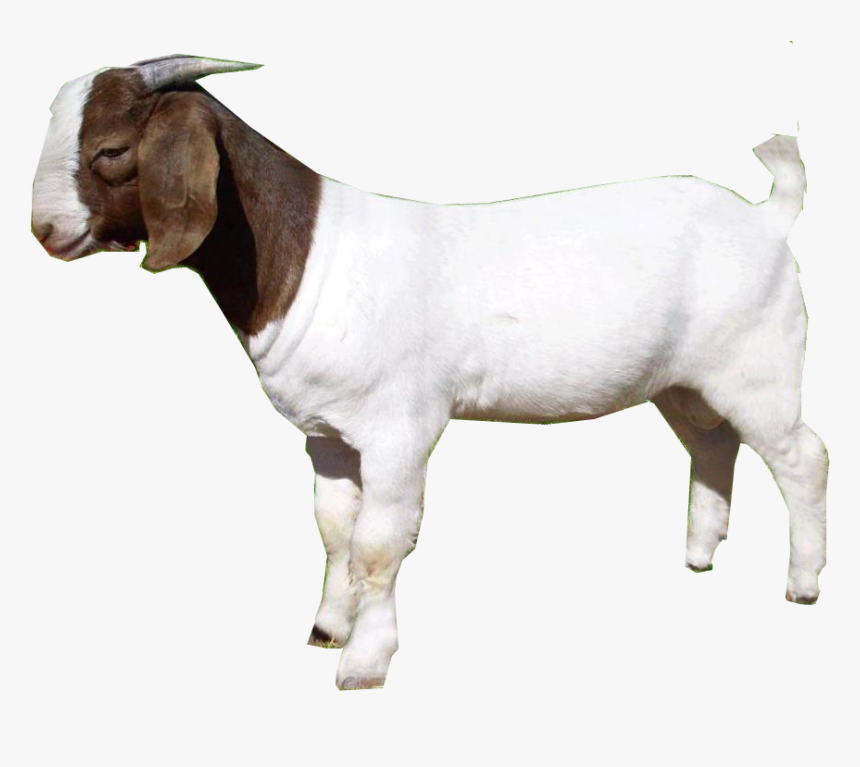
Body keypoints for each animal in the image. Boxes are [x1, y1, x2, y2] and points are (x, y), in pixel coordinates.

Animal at [31, 55, 828, 690]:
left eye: (110, 148)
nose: (43, 230)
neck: (307, 255)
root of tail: (769, 217)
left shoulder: (398, 429)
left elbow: (380, 545)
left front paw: (363, 663)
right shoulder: (327, 435)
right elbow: (334, 531)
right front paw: (327, 628)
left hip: (757, 366)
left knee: (802, 457)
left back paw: (803, 583)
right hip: (684, 382)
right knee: (713, 443)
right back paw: (699, 555)